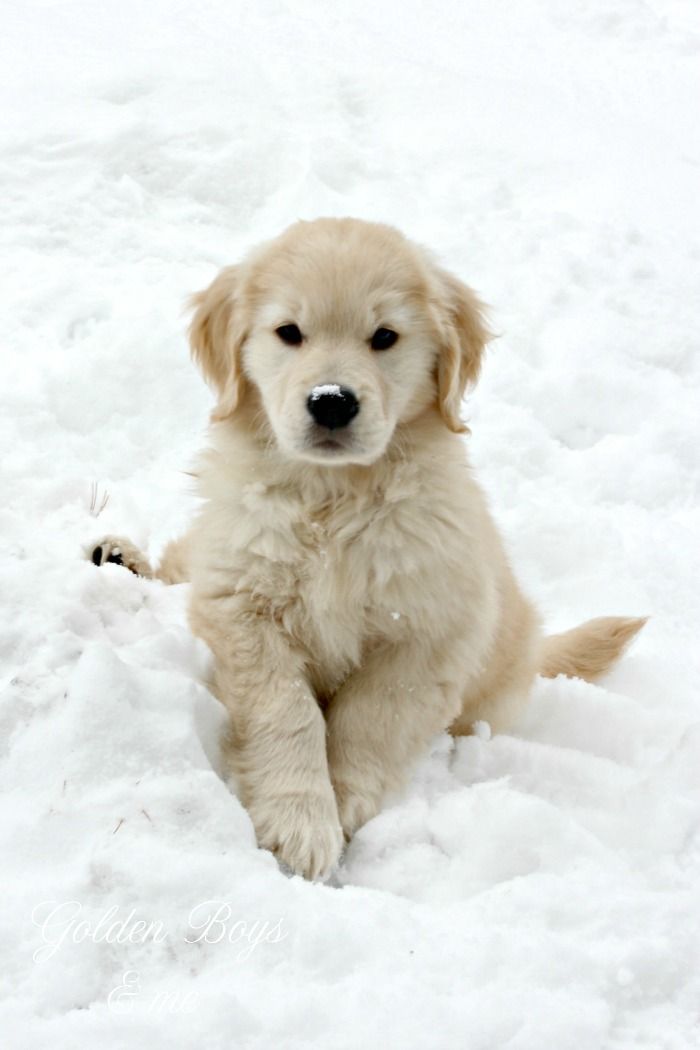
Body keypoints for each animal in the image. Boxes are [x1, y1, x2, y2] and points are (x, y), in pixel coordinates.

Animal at [91, 219, 646, 877]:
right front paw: (301, 818)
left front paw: (343, 803)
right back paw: (118, 560)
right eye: (289, 332)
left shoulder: (428, 630)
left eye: (385, 337)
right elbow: (287, 711)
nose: (331, 400)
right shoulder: (241, 602)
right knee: (177, 565)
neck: (334, 498)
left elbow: (370, 718)